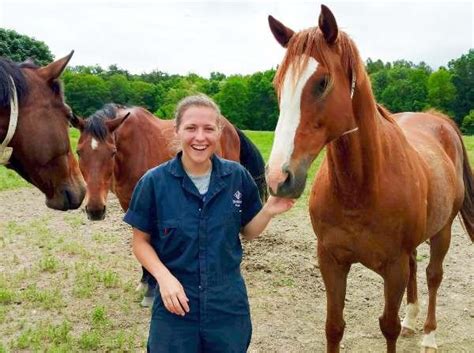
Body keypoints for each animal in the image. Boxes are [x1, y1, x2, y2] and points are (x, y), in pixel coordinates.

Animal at [264, 4, 472, 352]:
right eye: (278, 85)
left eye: (322, 82)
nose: (279, 177)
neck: (359, 191)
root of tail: (438, 120)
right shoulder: (331, 261)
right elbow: (334, 327)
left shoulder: (393, 267)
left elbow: (388, 326)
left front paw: (407, 327)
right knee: (417, 267)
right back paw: (411, 320)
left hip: (442, 230)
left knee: (433, 274)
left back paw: (429, 334)